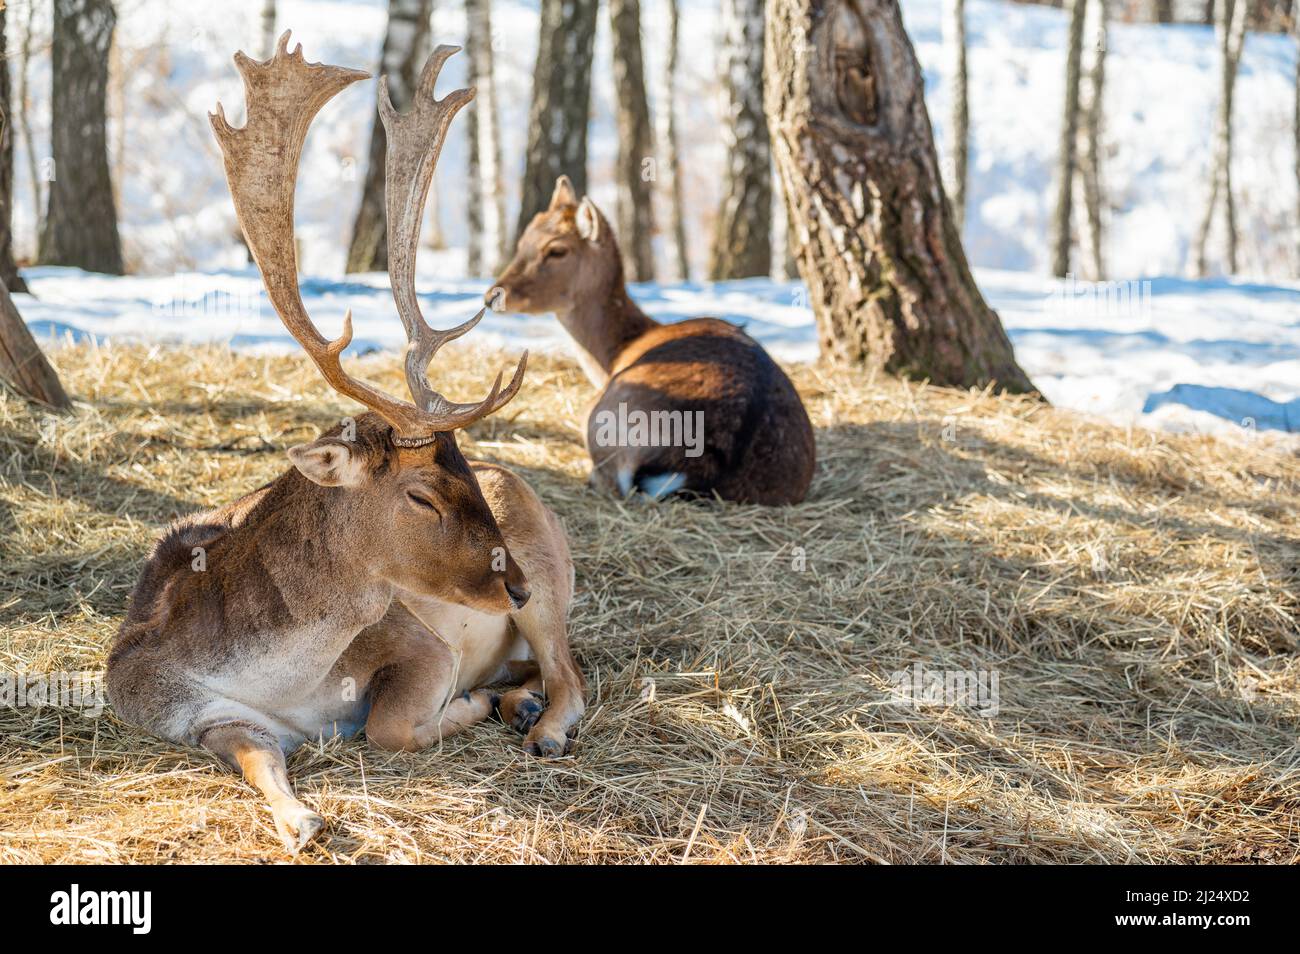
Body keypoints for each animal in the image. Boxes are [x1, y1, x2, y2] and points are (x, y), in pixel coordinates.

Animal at [105, 35, 584, 853]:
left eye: (463, 471)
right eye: (421, 494)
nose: (512, 584)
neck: (281, 682)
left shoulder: (419, 643)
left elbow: (389, 726)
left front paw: (464, 707)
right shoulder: (188, 710)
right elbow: (258, 758)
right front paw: (301, 822)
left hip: (551, 570)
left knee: (572, 672)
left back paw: (538, 724)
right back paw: (516, 701)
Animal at [491, 178, 816, 505]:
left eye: (557, 250)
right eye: (523, 241)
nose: (494, 294)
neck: (617, 352)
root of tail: (705, 466)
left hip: (601, 421)